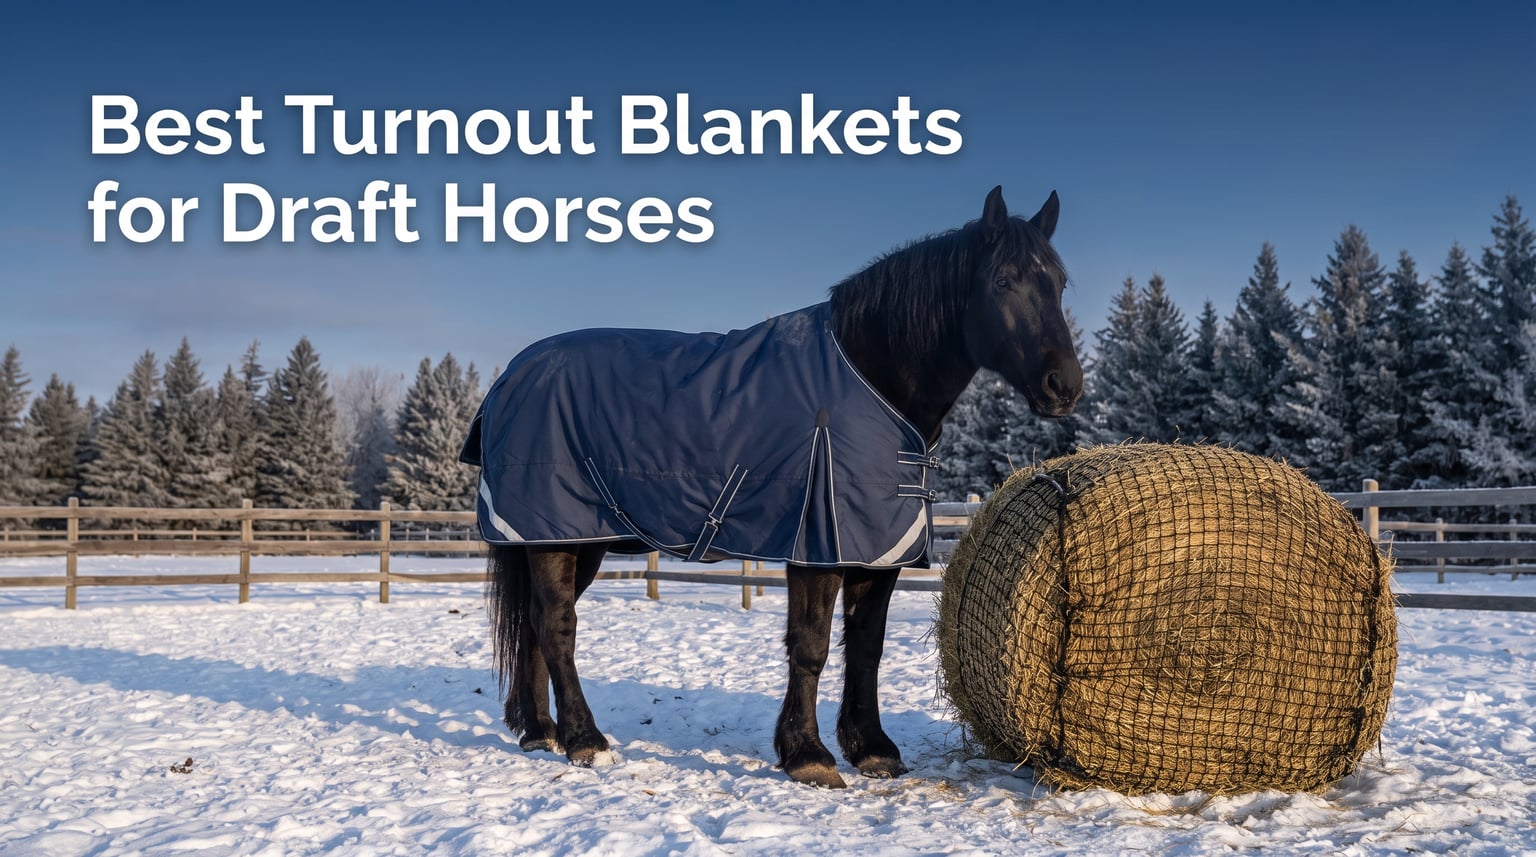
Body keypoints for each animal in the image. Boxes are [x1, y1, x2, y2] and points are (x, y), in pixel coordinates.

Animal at [460, 186, 1082, 788]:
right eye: (1002, 281)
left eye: (1058, 283)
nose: (1065, 386)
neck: (868, 379)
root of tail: (512, 377)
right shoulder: (817, 547)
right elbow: (810, 647)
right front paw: (808, 755)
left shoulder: (879, 551)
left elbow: (867, 648)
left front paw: (872, 748)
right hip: (558, 537)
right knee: (557, 627)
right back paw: (585, 741)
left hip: (570, 540)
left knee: (534, 626)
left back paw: (540, 731)